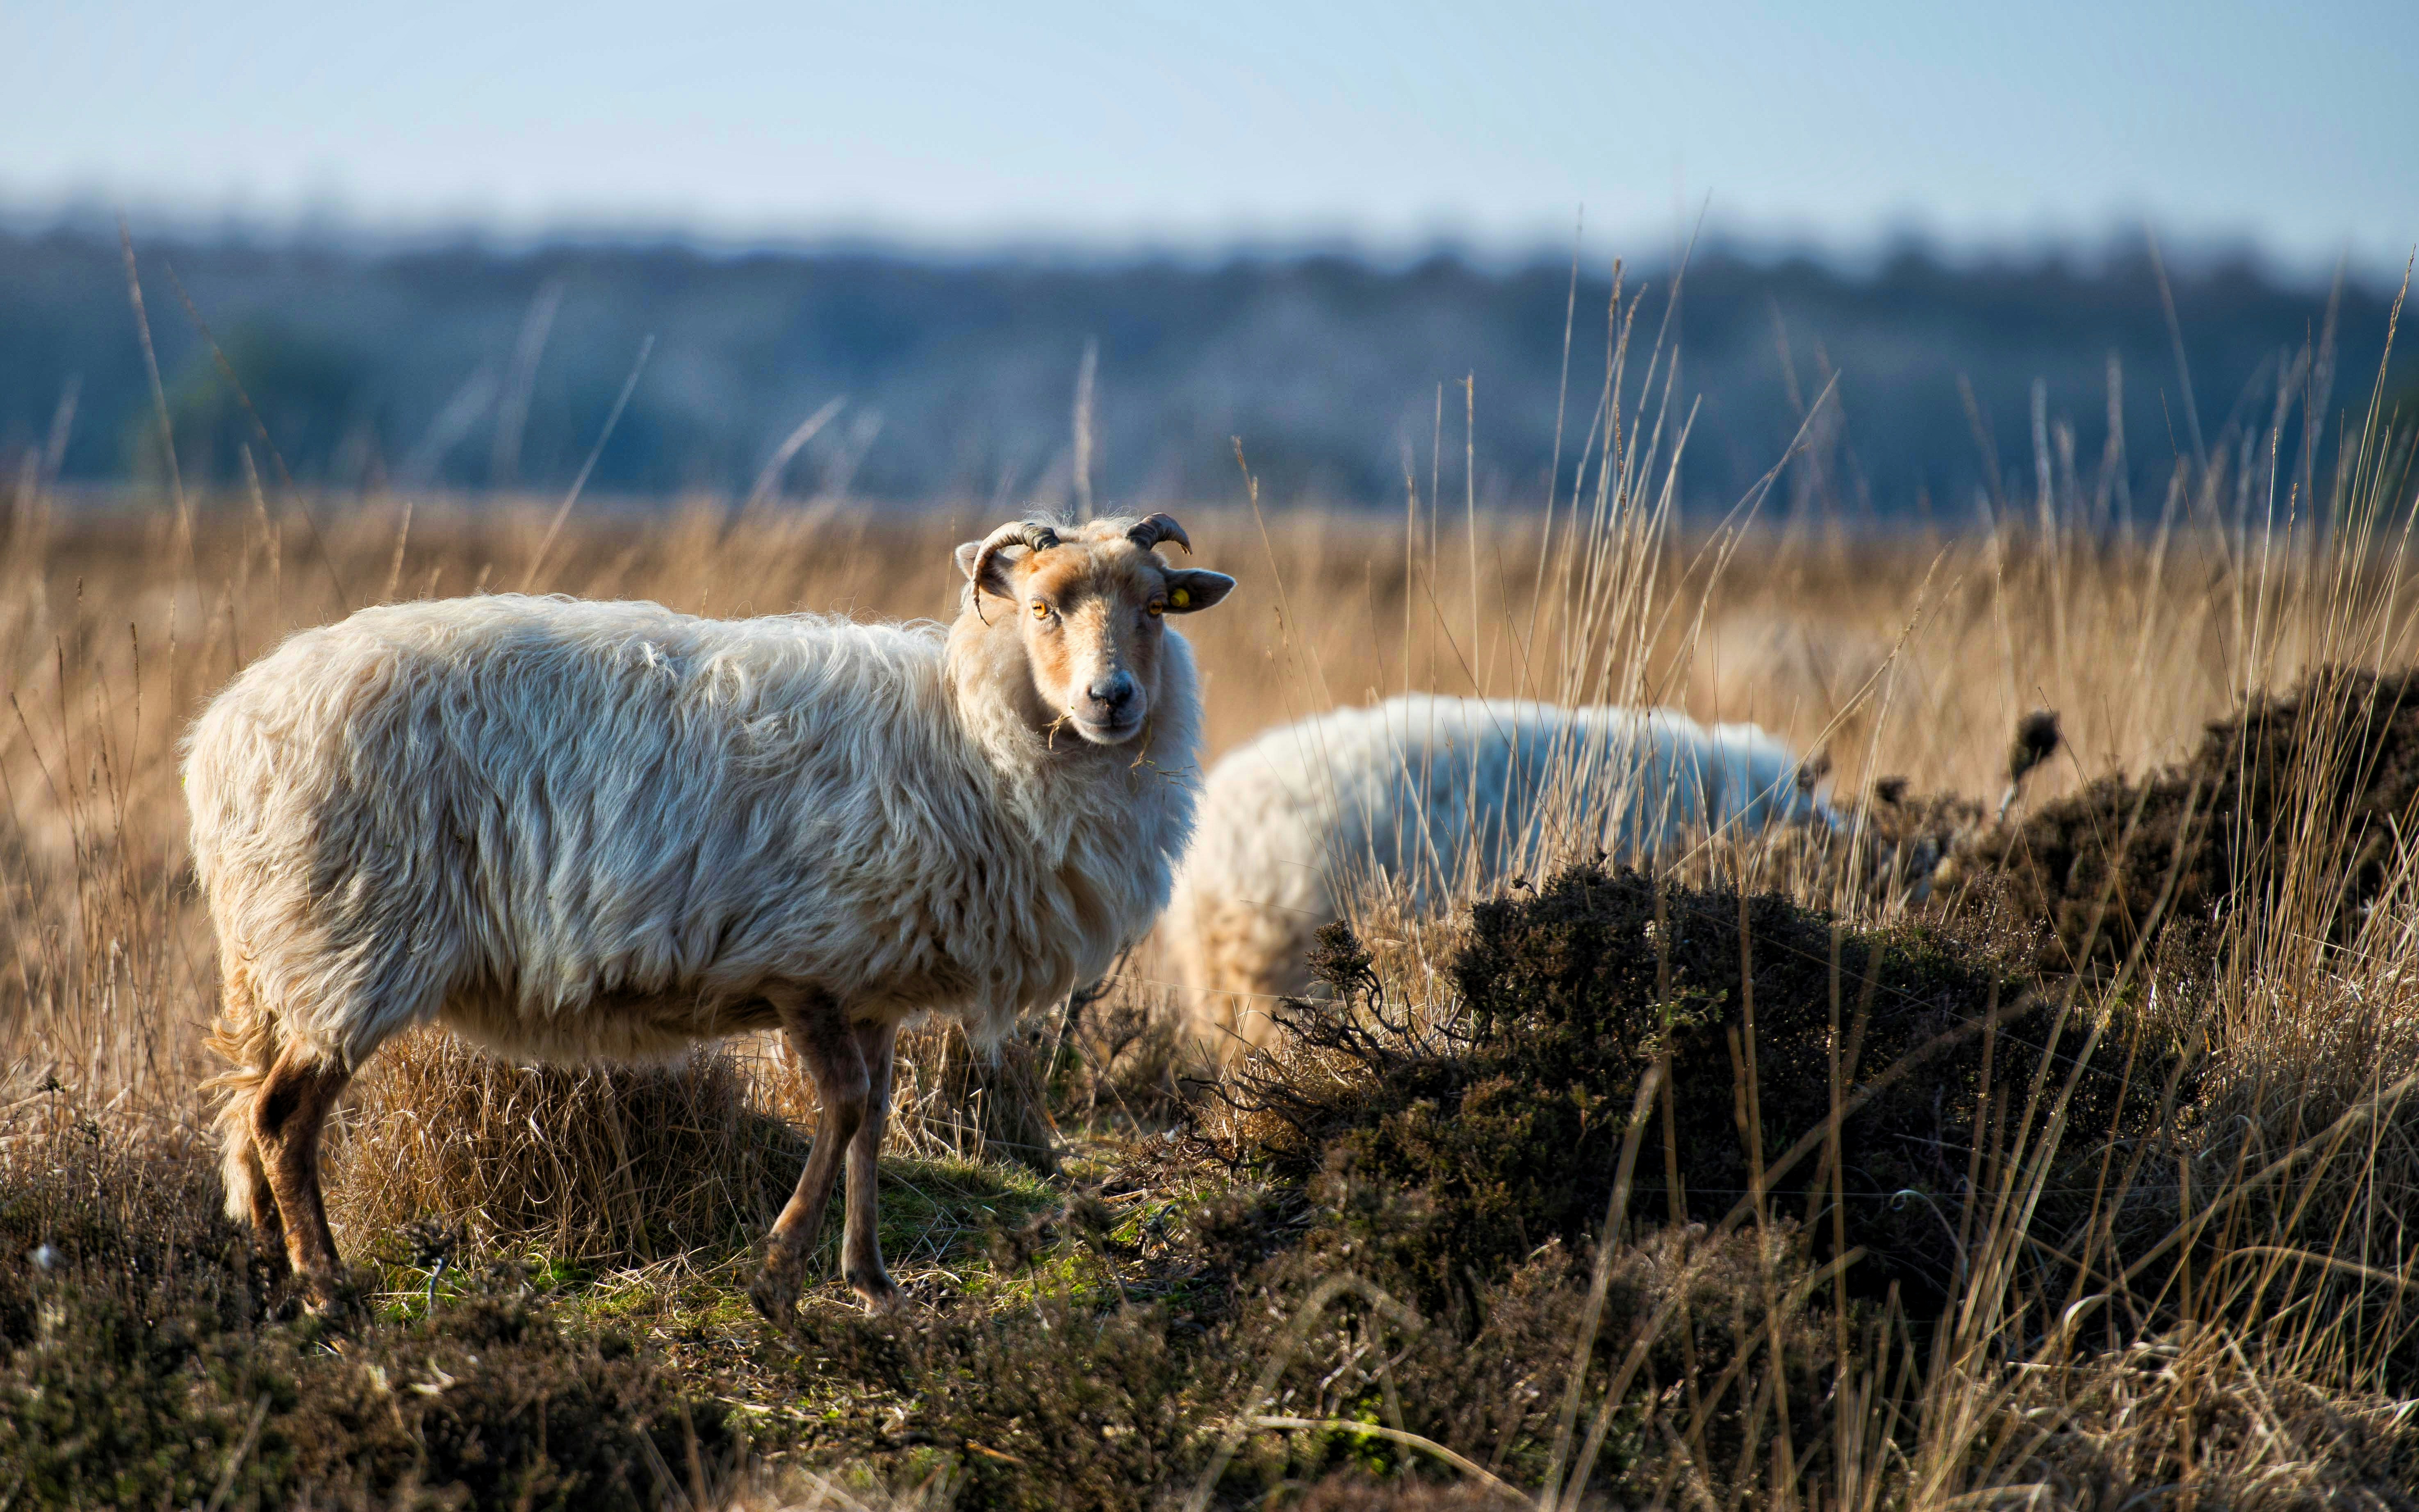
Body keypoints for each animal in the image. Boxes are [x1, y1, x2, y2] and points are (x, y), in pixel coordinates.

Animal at [184, 513, 1234, 1318]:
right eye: (1042, 607)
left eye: (1153, 607)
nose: (1112, 698)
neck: (968, 735)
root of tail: (225, 730)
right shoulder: (803, 964)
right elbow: (842, 1106)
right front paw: (779, 1272)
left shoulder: (872, 980)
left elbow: (875, 1116)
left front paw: (871, 1277)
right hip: (353, 937)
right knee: (281, 1116)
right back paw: (329, 1287)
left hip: (286, 945)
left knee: (251, 1106)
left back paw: (280, 1269)